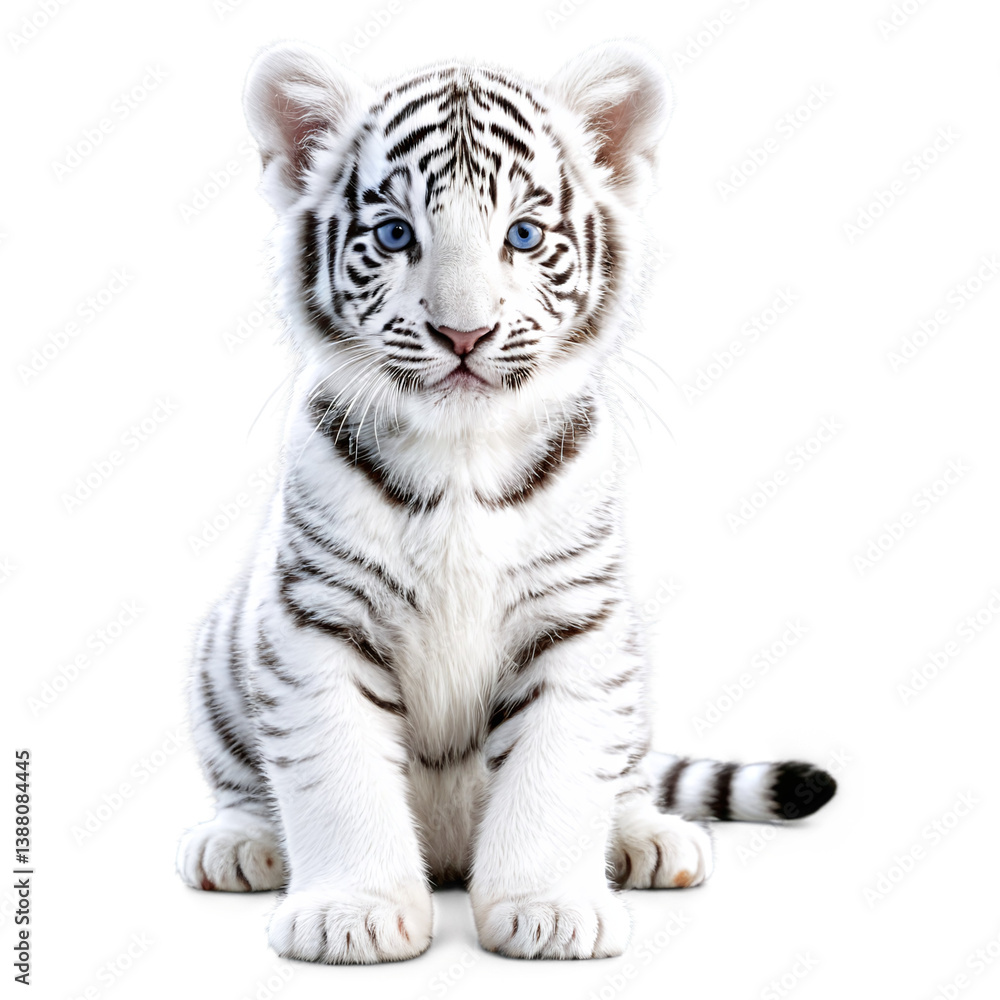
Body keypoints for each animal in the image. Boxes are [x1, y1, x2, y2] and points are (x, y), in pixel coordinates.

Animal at [176, 40, 836, 964]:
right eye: (395, 235)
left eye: (522, 236)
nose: (464, 334)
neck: (460, 456)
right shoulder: (315, 622)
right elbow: (335, 774)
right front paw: (353, 914)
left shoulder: (579, 623)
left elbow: (558, 775)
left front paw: (549, 910)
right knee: (242, 781)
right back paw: (241, 845)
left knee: (628, 776)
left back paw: (649, 837)